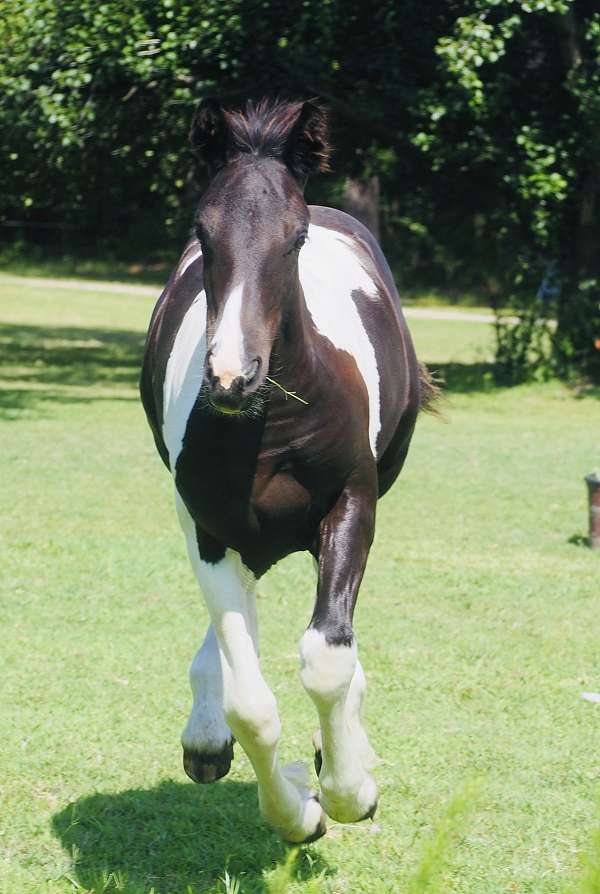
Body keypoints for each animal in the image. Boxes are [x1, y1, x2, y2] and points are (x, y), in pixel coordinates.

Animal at [140, 101, 432, 844]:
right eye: (202, 231)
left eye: (294, 237)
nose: (231, 376)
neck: (268, 425)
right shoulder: (210, 530)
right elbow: (251, 704)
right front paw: (300, 813)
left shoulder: (352, 506)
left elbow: (329, 660)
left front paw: (352, 791)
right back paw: (208, 739)